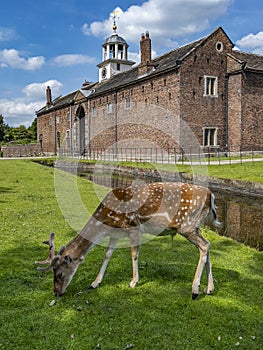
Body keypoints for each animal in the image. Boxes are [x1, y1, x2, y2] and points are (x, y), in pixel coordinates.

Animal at [36, 182, 222, 300]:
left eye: (59, 273)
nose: (55, 292)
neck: (105, 221)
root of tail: (211, 195)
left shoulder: (132, 227)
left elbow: (134, 254)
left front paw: (133, 282)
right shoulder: (115, 234)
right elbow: (107, 255)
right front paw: (94, 283)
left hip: (187, 226)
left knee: (204, 246)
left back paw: (195, 290)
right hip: (196, 227)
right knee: (208, 246)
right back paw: (209, 288)